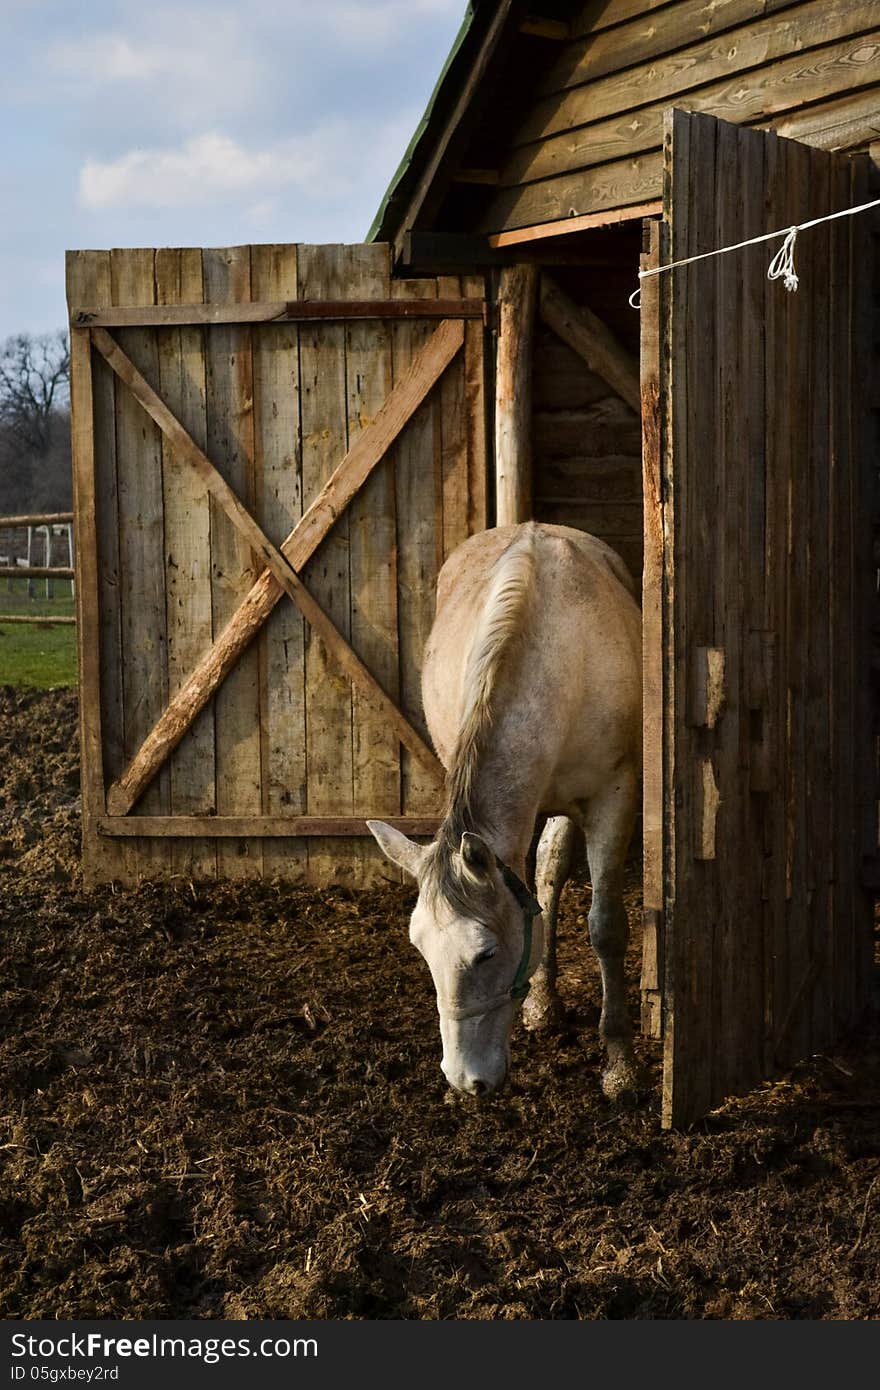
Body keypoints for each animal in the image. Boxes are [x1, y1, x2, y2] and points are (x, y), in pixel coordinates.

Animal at [367, 519, 642, 1095]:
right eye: (421, 950)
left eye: (486, 953)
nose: (463, 1078)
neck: (560, 656)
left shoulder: (614, 795)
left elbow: (606, 927)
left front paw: (620, 1066)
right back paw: (542, 1005)